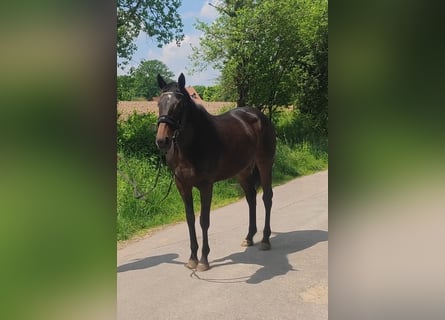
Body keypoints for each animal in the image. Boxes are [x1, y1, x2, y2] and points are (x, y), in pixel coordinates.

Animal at [155, 74, 274, 272]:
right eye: (159, 103)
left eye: (179, 104)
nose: (162, 140)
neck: (191, 146)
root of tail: (259, 116)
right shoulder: (182, 185)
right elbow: (190, 219)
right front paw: (192, 258)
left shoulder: (205, 185)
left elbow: (204, 220)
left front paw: (203, 260)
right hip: (242, 171)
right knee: (251, 198)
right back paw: (249, 237)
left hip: (265, 163)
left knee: (267, 197)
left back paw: (265, 240)